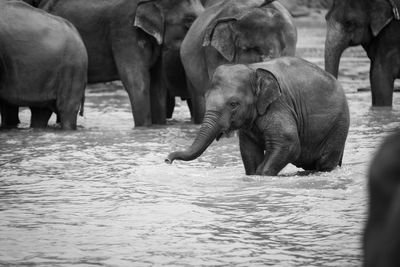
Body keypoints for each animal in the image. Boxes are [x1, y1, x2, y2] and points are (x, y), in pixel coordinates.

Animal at [166, 57, 350, 177]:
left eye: (233, 104)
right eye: (205, 97)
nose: (167, 160)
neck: (252, 68)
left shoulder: (279, 105)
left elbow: (289, 143)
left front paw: (261, 176)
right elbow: (249, 151)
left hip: (337, 127)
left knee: (324, 163)